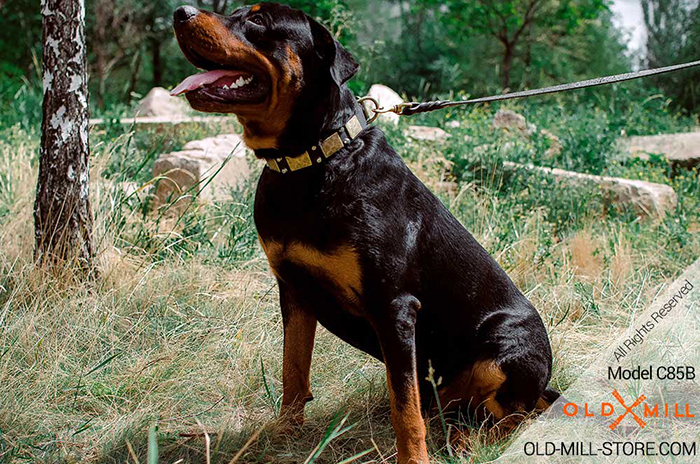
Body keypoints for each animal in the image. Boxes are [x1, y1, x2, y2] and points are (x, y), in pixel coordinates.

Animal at [171, 4, 556, 464]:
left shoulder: (394, 306)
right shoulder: (294, 290)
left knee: (517, 413)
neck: (311, 162)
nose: (180, 12)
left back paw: (471, 441)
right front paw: (284, 435)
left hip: (505, 353)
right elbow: (293, 372)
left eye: (259, 21)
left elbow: (404, 409)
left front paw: (414, 458)